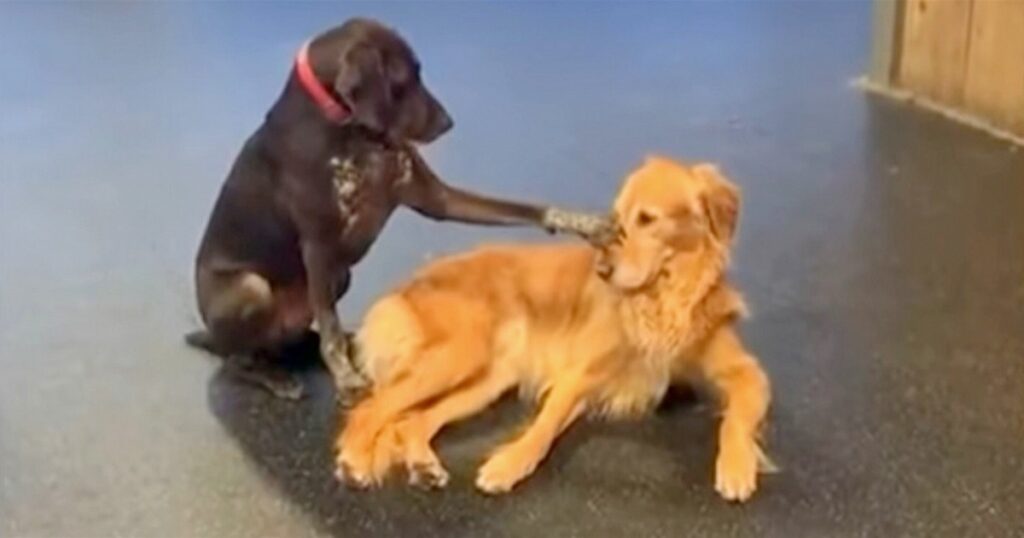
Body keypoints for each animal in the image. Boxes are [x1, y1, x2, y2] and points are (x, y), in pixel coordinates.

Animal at [335, 154, 774, 500]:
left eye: (648, 219)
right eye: (616, 220)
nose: (603, 270)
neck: (664, 298)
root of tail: (408, 283)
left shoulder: (747, 372)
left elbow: (737, 419)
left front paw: (737, 466)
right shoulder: (578, 373)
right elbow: (544, 427)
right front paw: (508, 464)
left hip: (485, 379)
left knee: (414, 420)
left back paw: (422, 465)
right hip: (457, 356)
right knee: (371, 407)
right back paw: (354, 460)